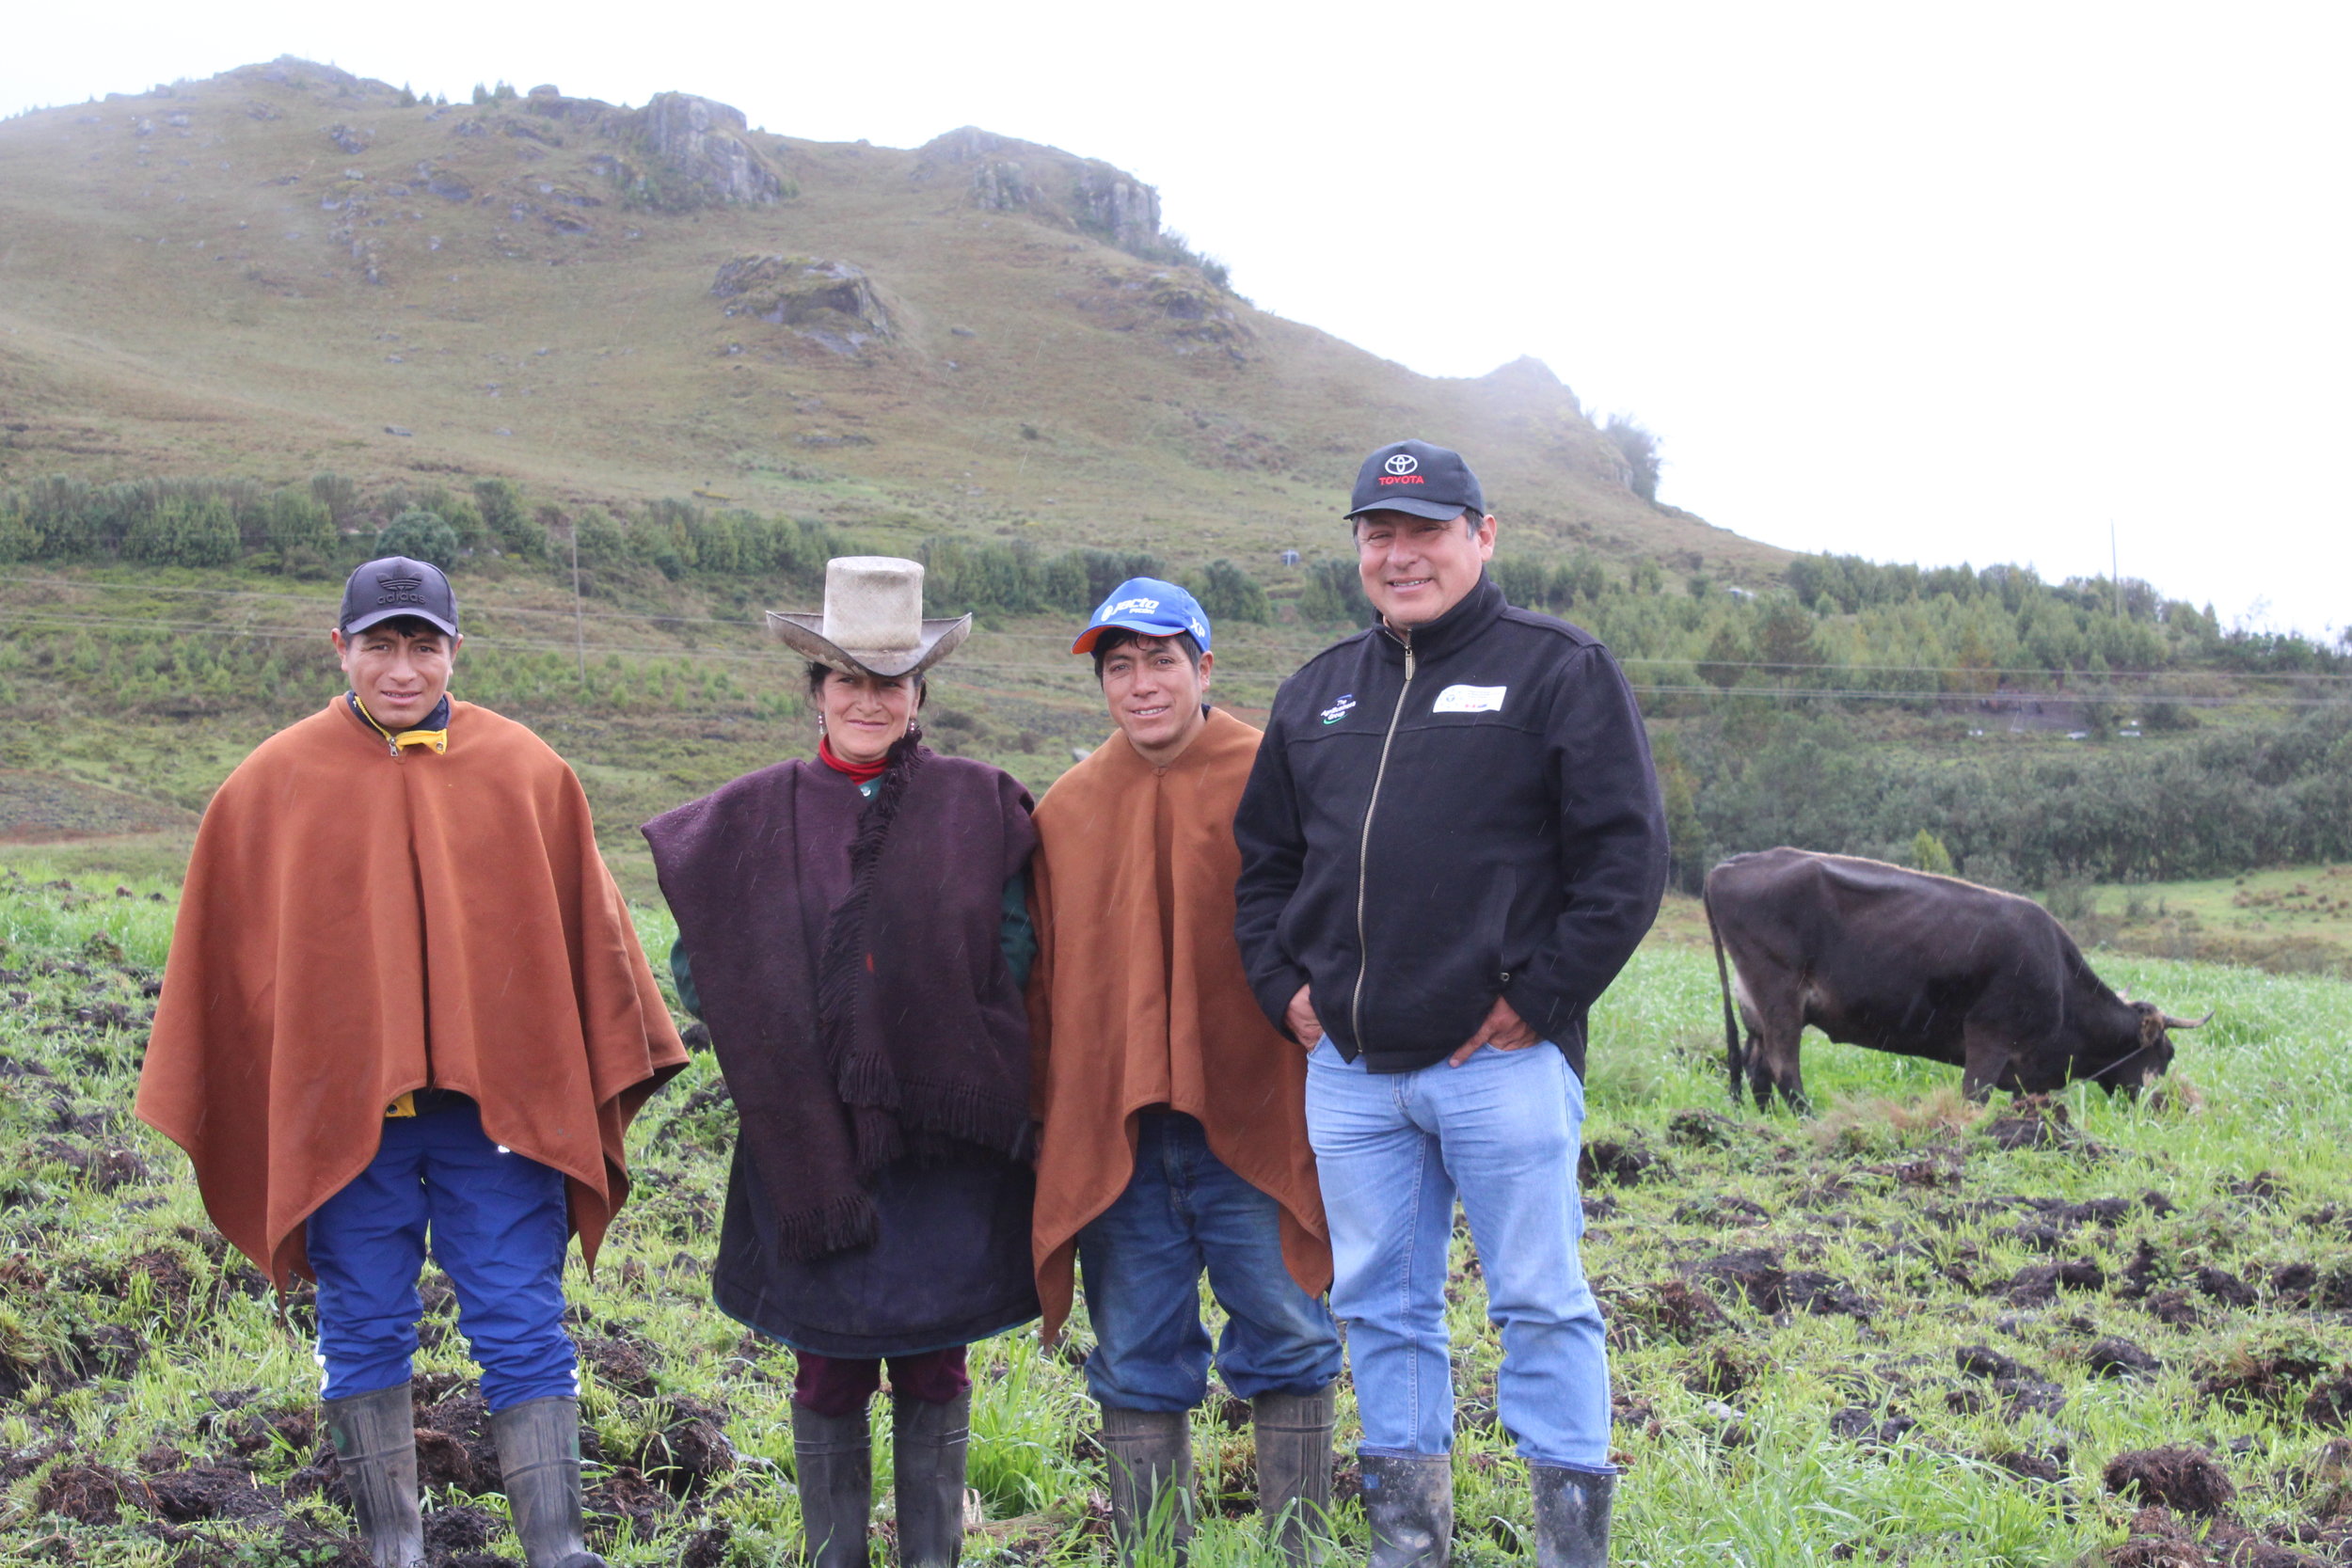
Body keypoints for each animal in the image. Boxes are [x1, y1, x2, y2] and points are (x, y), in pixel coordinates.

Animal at [1712, 850, 2201, 1109]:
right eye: (2168, 1053)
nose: (2163, 1105)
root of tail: (1731, 866)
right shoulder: (1989, 1035)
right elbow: (1974, 1098)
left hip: (1753, 1000)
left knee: (1756, 1066)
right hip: (1779, 995)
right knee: (1782, 1066)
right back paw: (1807, 1117)